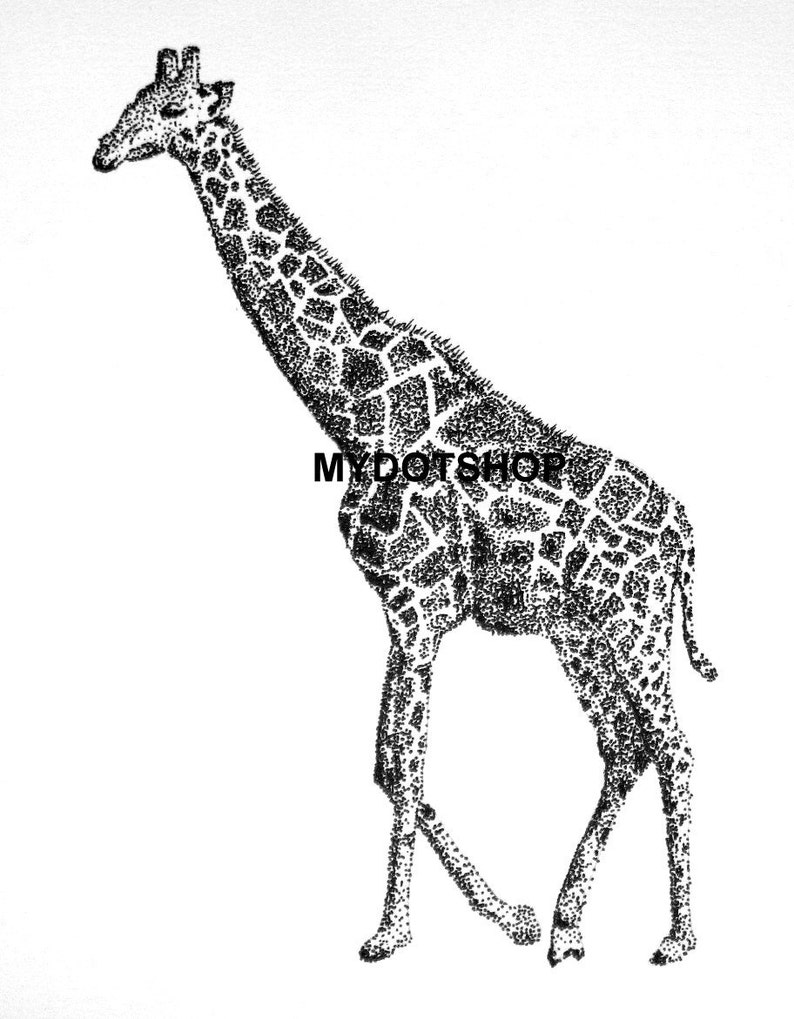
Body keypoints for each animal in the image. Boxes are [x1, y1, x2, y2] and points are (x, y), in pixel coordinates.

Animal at [93, 47, 717, 967]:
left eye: (174, 109)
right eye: (136, 97)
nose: (103, 150)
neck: (352, 411)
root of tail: (688, 535)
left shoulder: (420, 608)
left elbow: (410, 763)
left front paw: (390, 932)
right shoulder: (399, 610)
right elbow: (389, 766)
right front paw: (512, 916)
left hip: (635, 626)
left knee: (673, 747)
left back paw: (677, 937)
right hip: (579, 632)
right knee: (623, 745)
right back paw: (567, 925)